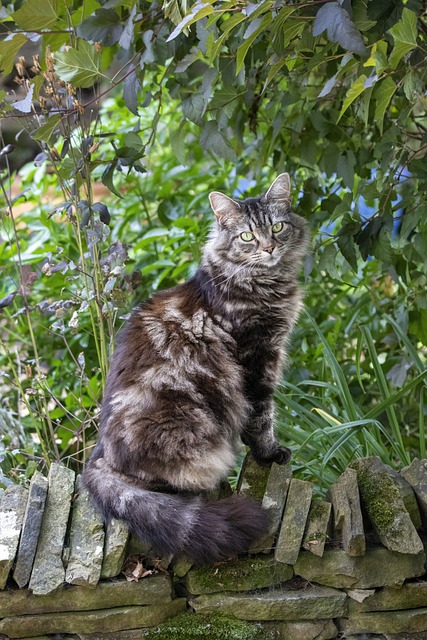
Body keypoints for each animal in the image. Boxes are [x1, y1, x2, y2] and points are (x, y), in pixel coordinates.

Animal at [83, 172, 310, 564]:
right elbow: (261, 414)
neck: (262, 283)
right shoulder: (255, 357)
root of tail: (98, 458)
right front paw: (269, 452)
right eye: (247, 236)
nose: (268, 248)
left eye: (277, 227)